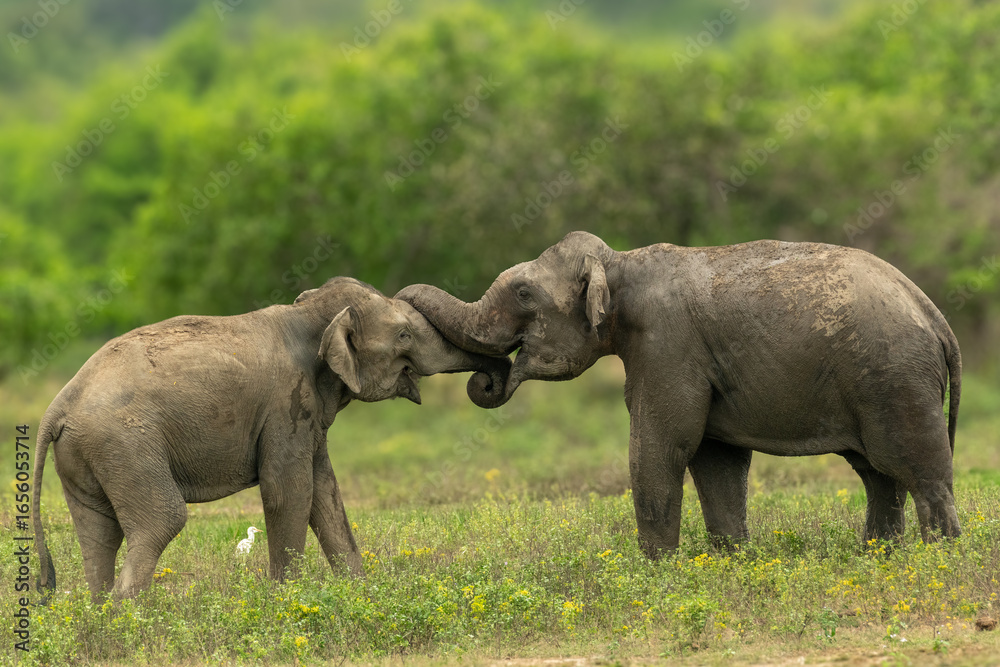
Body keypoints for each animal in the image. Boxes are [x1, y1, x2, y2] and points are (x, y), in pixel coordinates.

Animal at [33, 277, 510, 601]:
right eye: (404, 335)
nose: (489, 379)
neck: (309, 314)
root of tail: (58, 406)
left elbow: (324, 494)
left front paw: (359, 596)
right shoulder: (286, 406)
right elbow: (289, 492)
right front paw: (287, 603)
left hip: (87, 454)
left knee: (98, 532)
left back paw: (102, 618)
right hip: (126, 446)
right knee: (161, 521)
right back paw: (129, 621)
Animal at [397, 231, 962, 557]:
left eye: (522, 292)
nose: (485, 380)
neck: (619, 264)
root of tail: (935, 316)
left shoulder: (667, 345)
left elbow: (663, 445)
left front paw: (655, 573)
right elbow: (715, 459)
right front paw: (732, 564)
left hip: (895, 378)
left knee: (915, 468)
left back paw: (941, 562)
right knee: (878, 474)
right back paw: (880, 559)